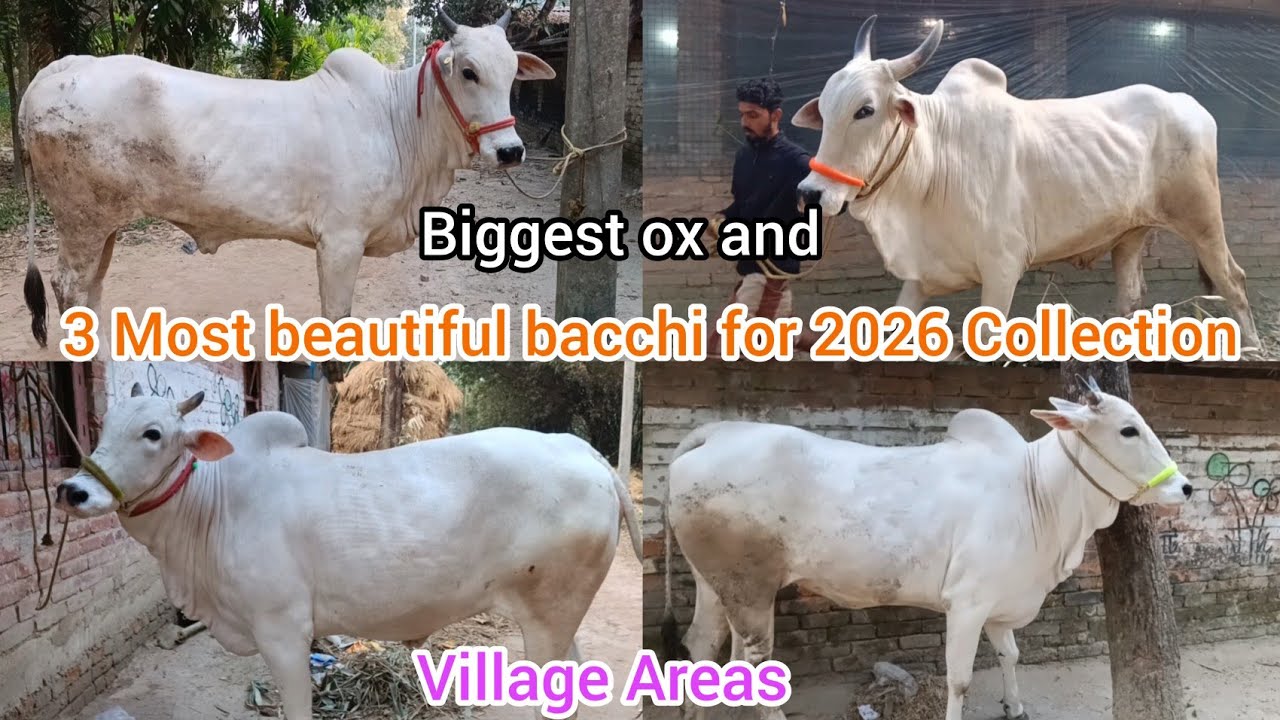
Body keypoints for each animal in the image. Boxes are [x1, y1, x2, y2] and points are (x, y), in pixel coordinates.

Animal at [20, 10, 554, 380]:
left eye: (511, 73)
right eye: (468, 71)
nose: (510, 151)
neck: (396, 119)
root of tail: (57, 69)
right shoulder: (341, 241)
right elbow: (337, 320)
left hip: (103, 224)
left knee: (90, 293)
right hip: (81, 218)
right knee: (69, 288)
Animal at [55, 385, 641, 720]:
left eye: (153, 433)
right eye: (104, 426)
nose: (73, 491)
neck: (213, 505)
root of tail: (582, 450)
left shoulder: (283, 631)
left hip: (548, 616)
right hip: (559, 618)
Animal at [660, 376, 1192, 720]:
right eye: (1128, 429)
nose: (1183, 488)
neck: (1036, 491)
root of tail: (718, 432)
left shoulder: (999, 604)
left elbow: (1011, 655)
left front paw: (1015, 706)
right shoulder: (967, 603)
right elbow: (960, 679)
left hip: (716, 584)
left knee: (702, 645)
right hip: (750, 590)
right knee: (752, 662)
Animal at [792, 16, 1261, 353]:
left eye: (865, 110)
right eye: (826, 110)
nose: (811, 192)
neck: (934, 162)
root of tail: (1188, 103)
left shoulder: (1003, 268)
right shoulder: (920, 275)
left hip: (1202, 218)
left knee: (1232, 279)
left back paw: (1254, 348)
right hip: (1130, 234)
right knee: (1130, 297)